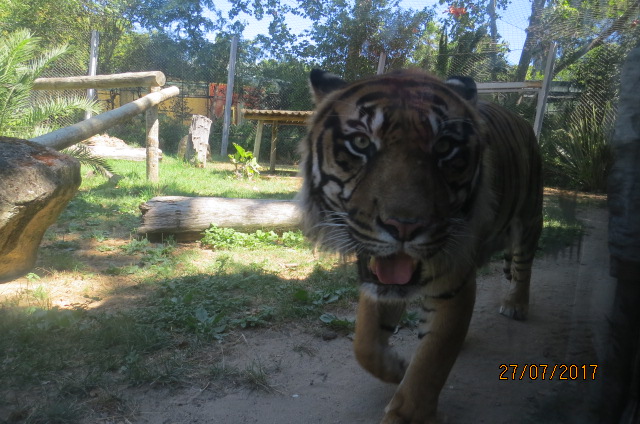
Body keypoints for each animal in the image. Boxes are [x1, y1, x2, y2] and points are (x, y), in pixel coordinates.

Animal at [297, 69, 543, 423]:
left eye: (444, 147)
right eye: (361, 143)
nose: (405, 226)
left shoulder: (453, 284)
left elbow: (431, 362)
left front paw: (408, 410)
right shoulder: (378, 278)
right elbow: (364, 343)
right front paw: (398, 367)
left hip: (529, 217)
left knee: (524, 266)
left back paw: (516, 304)